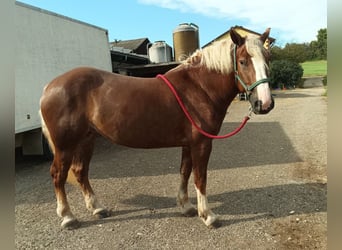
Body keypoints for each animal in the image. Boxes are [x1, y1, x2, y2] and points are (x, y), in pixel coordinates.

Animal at [40, 27, 276, 229]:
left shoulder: (189, 143)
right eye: (243, 61)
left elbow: (184, 172)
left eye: (267, 59)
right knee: (58, 174)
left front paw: (186, 206)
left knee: (80, 172)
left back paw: (97, 208)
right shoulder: (202, 143)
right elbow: (200, 177)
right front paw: (208, 215)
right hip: (65, 145)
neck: (198, 88)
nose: (264, 103)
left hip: (87, 140)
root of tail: (50, 86)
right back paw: (68, 217)